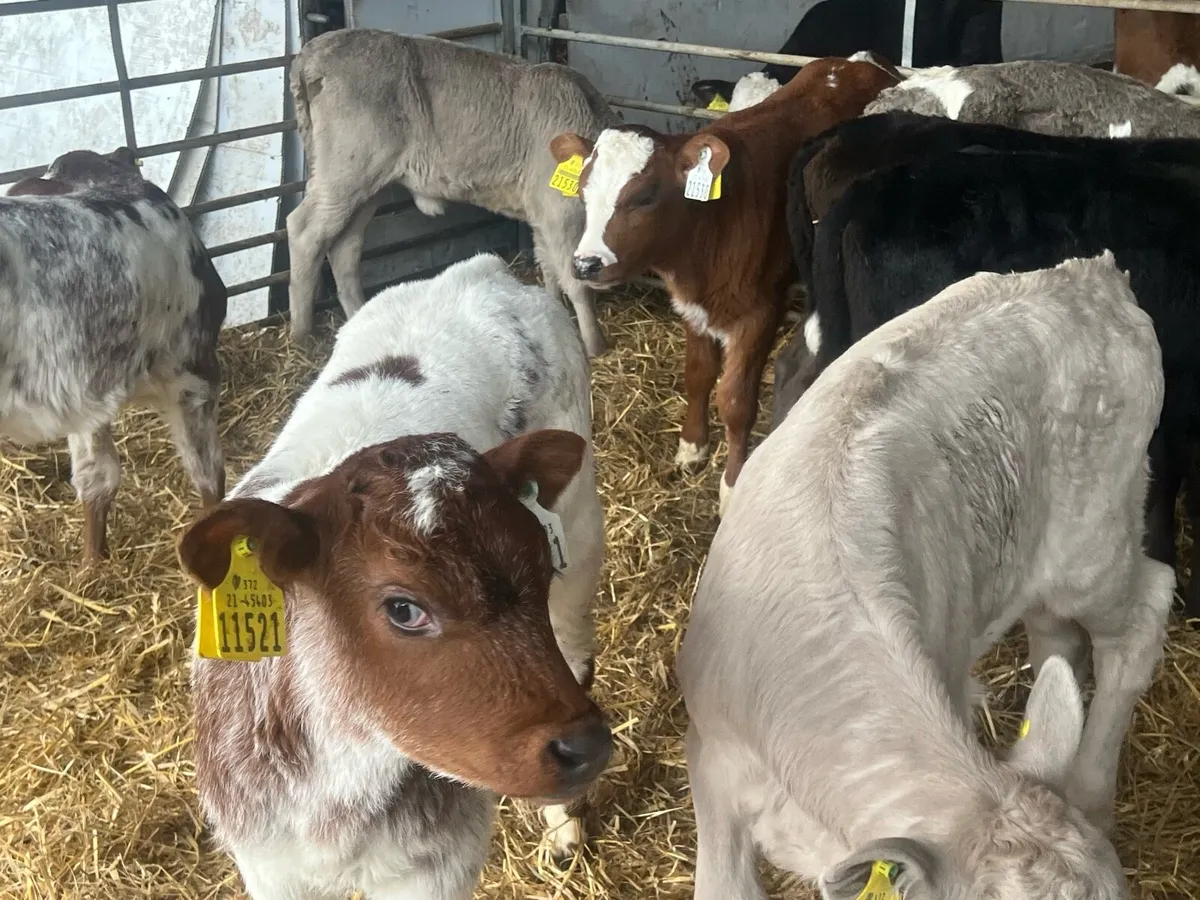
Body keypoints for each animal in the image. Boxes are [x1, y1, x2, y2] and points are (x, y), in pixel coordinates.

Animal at [178, 253, 610, 899]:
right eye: (404, 608)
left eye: (537, 564)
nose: (586, 746)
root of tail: (479, 270)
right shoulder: (268, 863)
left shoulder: (440, 864)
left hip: (581, 542)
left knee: (578, 649)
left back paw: (562, 826)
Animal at [285, 29, 620, 357]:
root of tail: (315, 49)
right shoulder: (559, 211)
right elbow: (574, 281)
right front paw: (595, 346)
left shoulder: (541, 213)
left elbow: (548, 266)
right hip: (345, 173)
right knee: (304, 231)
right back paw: (301, 333)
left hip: (367, 187)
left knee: (346, 246)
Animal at [550, 54, 900, 515]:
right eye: (583, 192)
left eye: (644, 196)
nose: (587, 263)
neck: (707, 224)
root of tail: (860, 62)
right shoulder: (692, 306)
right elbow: (698, 374)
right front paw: (692, 446)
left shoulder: (759, 313)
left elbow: (735, 401)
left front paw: (733, 483)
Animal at [678, 252, 1172, 900]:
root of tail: (1095, 276)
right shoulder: (713, 763)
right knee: (1060, 635)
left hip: (1095, 544)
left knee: (1143, 613)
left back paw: (1090, 790)